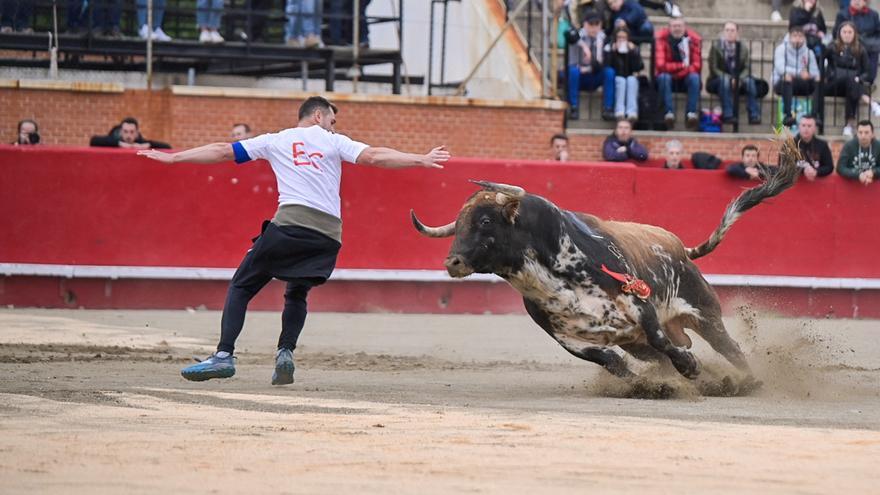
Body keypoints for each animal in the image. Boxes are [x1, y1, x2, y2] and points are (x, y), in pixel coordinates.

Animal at [412, 140, 804, 384]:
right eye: (459, 224)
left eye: (485, 221)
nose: (453, 261)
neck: (554, 277)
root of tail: (680, 248)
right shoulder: (568, 337)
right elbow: (612, 362)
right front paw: (650, 386)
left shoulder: (638, 303)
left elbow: (662, 340)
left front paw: (690, 368)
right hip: (637, 341)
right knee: (659, 354)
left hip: (704, 312)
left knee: (727, 346)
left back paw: (747, 380)